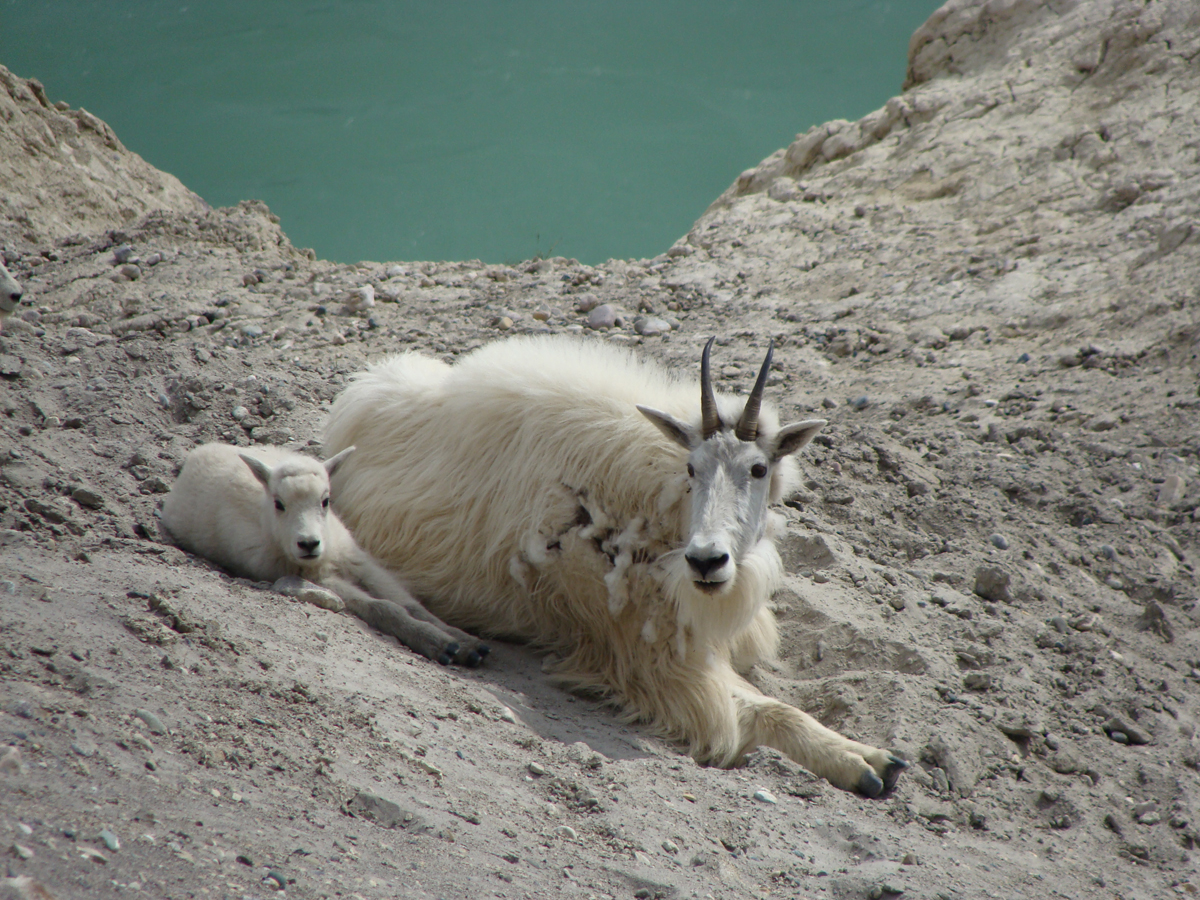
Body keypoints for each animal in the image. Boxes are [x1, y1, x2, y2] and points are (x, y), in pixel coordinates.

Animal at [159, 446, 487, 672]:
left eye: (326, 500)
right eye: (279, 503)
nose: (308, 544)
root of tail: (199, 452)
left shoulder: (358, 559)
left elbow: (409, 603)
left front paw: (466, 643)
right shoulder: (318, 577)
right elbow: (384, 608)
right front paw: (439, 644)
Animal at [324, 336, 902, 796]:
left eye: (759, 469)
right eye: (691, 468)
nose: (707, 561)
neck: (646, 509)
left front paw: (875, 755)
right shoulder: (653, 661)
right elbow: (761, 710)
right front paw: (859, 765)